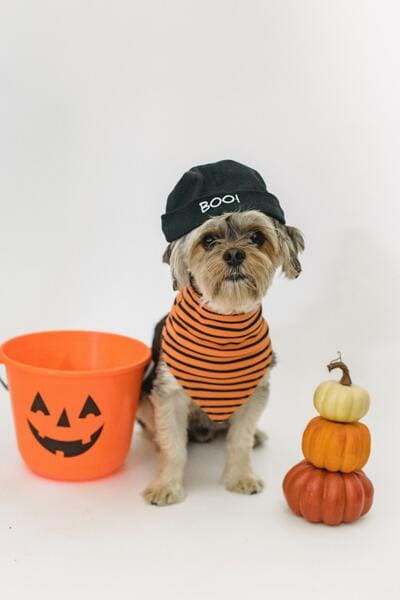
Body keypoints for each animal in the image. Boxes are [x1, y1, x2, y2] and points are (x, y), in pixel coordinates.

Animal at [136, 161, 304, 506]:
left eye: (256, 237)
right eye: (209, 241)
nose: (235, 254)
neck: (224, 322)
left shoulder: (255, 392)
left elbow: (239, 441)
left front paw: (241, 478)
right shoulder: (168, 394)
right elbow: (173, 447)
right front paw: (166, 486)